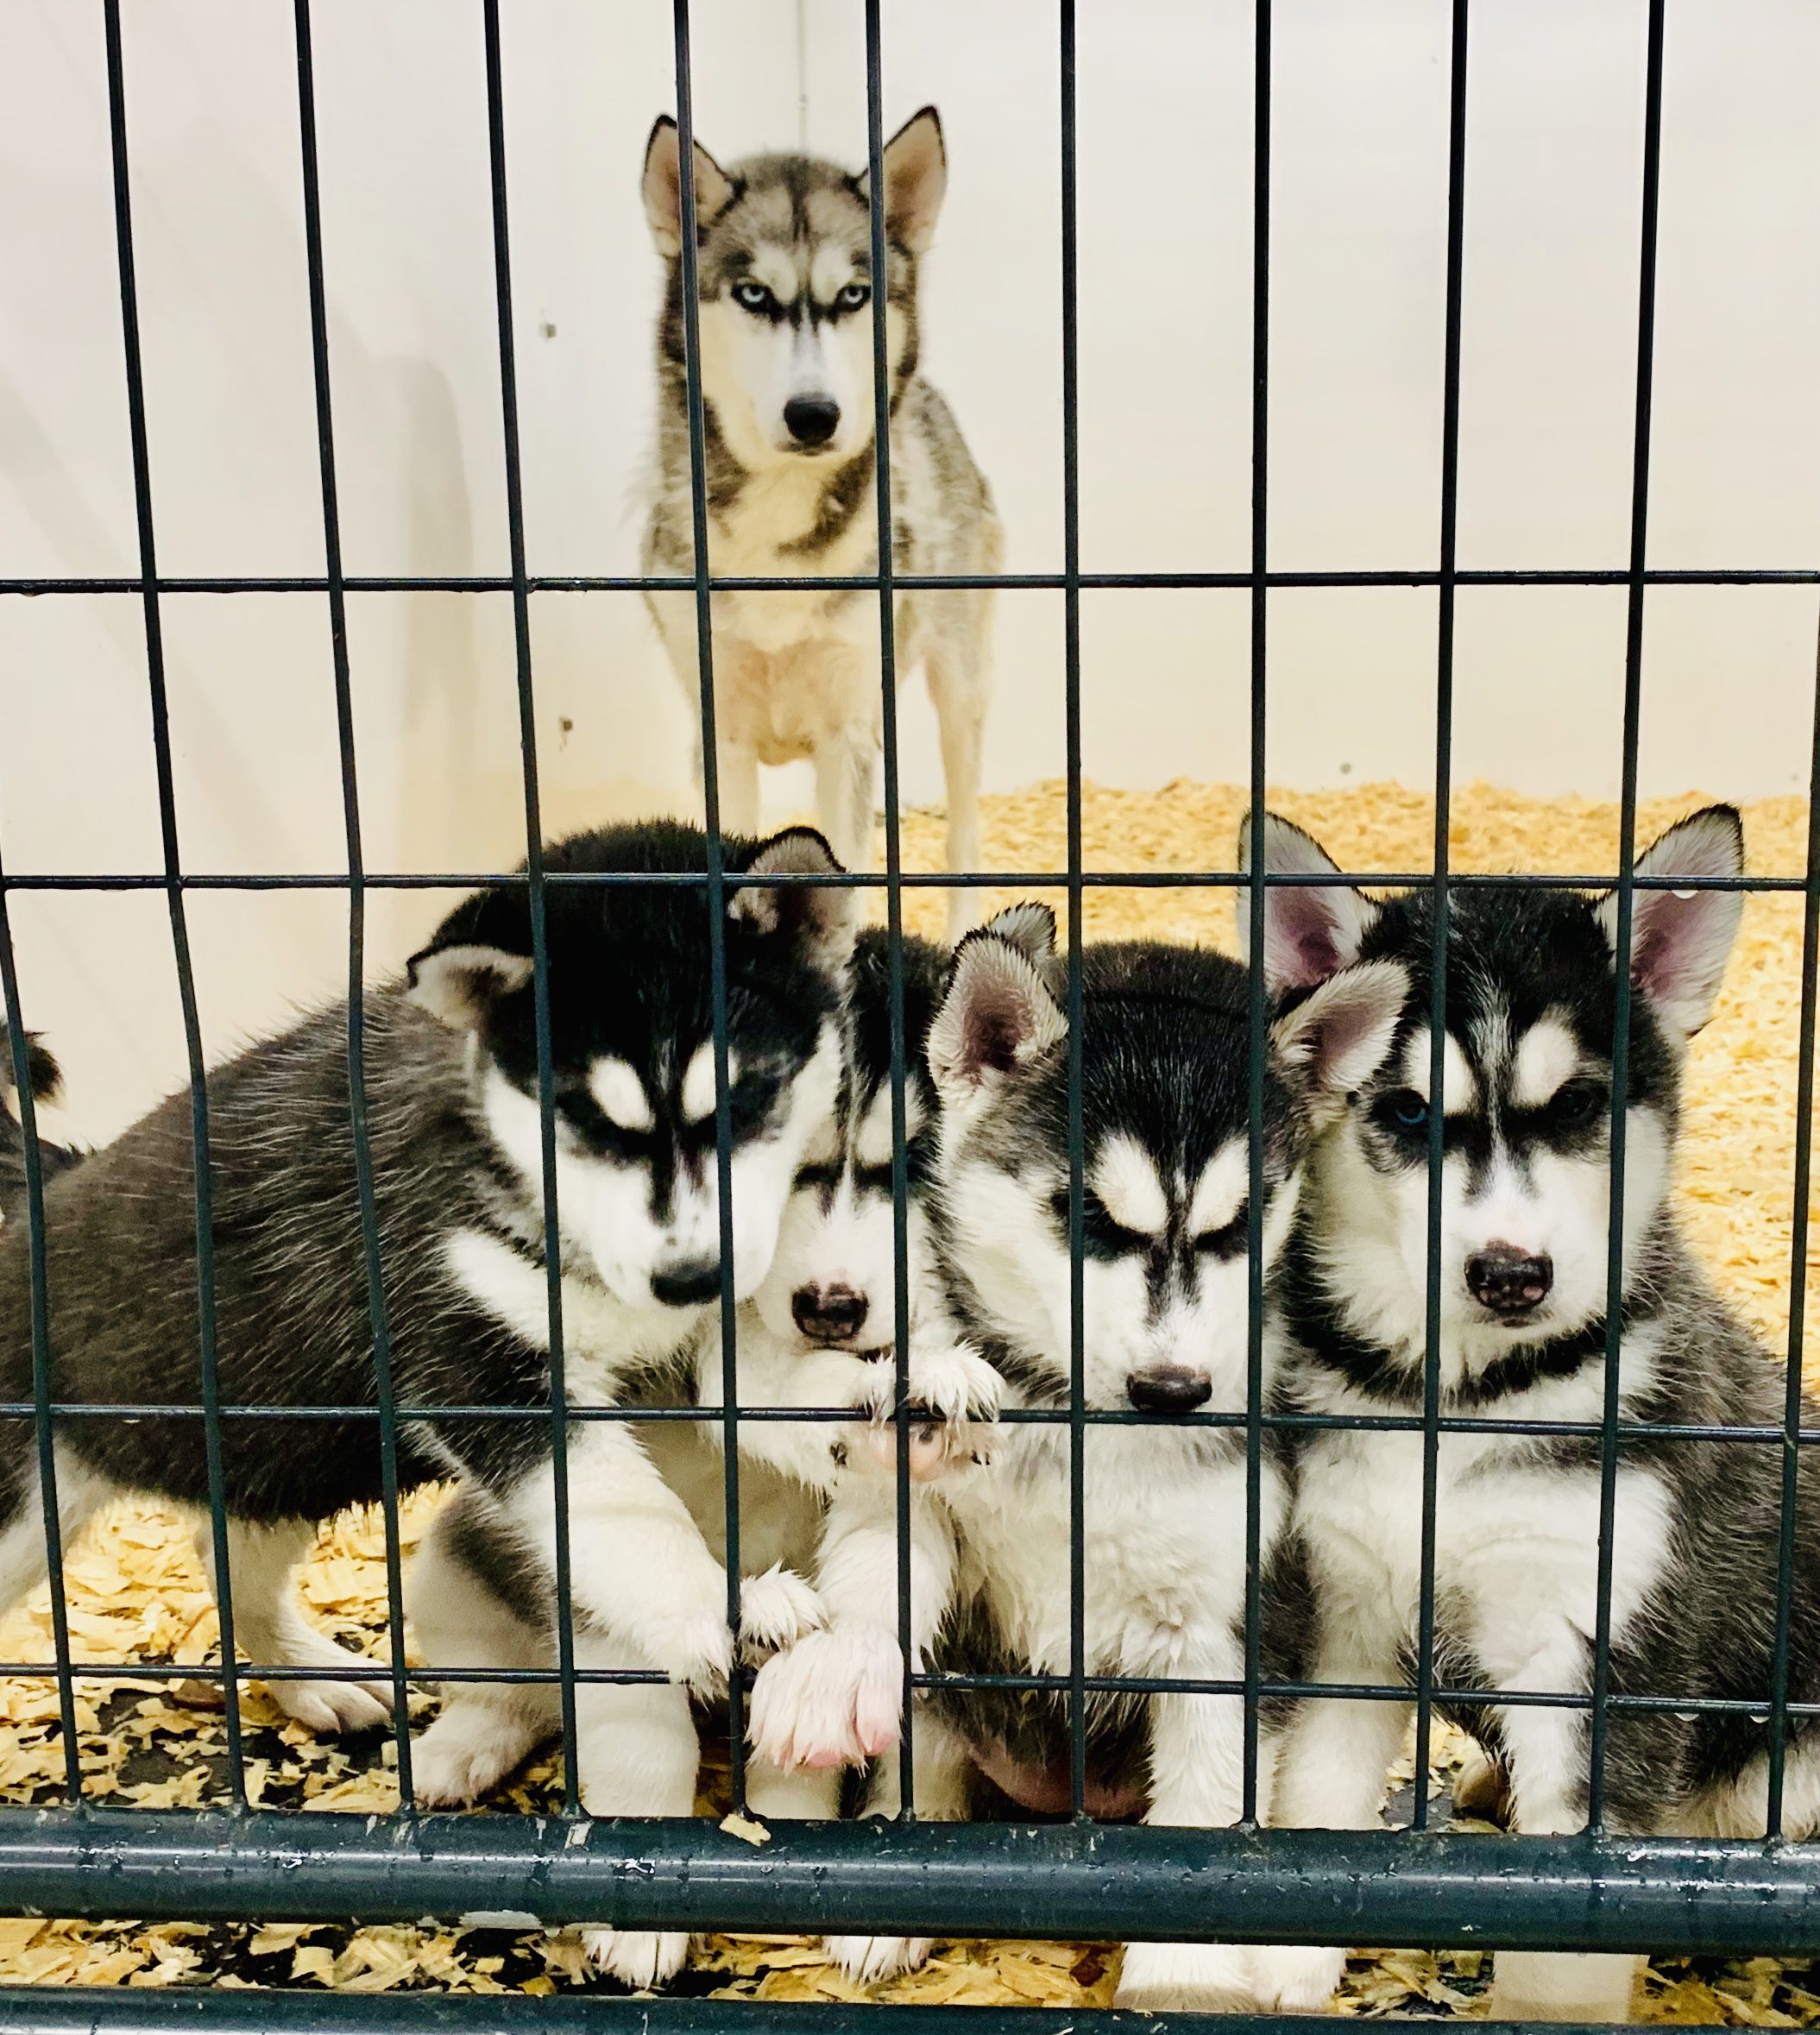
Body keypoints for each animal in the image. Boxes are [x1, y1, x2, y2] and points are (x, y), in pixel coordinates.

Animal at [0, 817, 851, 1742]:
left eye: (750, 1097)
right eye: (580, 1119)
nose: (690, 1278)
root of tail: (37, 1188)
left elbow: (762, 1379)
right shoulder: (474, 1361)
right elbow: (621, 1512)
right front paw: (717, 1612)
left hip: (278, 1460)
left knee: (222, 1554)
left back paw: (311, 1676)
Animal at [643, 109, 1010, 936]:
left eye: (852, 295)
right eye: (752, 294)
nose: (814, 415)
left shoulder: (849, 737)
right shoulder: (721, 738)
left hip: (960, 686)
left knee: (966, 828)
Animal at [749, 907, 1401, 2002]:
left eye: (1240, 1227)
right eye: (1087, 1217)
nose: (1173, 1391)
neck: (1078, 1428)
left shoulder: (1229, 1636)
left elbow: (1205, 1814)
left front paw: (1184, 1978)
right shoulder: (921, 1462)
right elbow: (883, 1551)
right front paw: (838, 1665)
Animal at [1237, 805, 1820, 2019]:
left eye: (1582, 1106)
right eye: (1409, 1111)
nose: (1512, 1275)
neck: (1463, 1406)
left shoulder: (1596, 1665)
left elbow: (1564, 1939)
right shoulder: (1345, 1622)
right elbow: (1314, 1811)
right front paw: (1271, 1976)